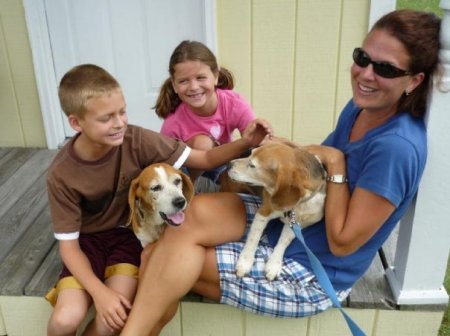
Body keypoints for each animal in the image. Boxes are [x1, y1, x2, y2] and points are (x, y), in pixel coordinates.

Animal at [227, 142, 326, 280]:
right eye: (251, 153)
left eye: (252, 165)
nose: (229, 164)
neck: (296, 205)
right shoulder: (264, 212)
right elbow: (253, 238)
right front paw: (245, 262)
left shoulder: (295, 223)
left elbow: (283, 243)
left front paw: (274, 264)